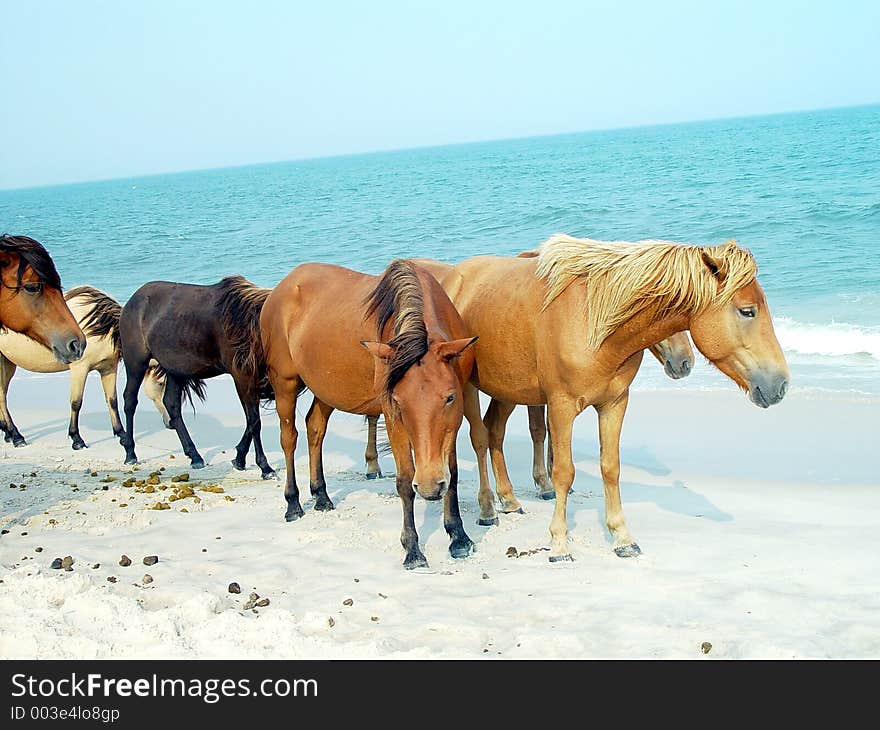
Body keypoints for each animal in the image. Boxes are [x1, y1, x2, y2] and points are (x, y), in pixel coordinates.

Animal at [118, 272, 274, 472]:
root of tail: (132, 301)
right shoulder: (242, 378)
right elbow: (254, 422)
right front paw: (265, 467)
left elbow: (251, 421)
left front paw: (239, 459)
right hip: (136, 363)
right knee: (130, 400)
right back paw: (130, 452)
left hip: (174, 370)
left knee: (171, 404)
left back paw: (194, 455)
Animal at [260, 260, 478, 568]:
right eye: (398, 401)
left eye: (450, 397)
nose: (428, 487)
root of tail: (281, 288)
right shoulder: (392, 418)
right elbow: (404, 481)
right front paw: (412, 549)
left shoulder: (452, 424)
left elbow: (453, 475)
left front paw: (458, 537)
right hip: (285, 383)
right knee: (289, 438)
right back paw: (293, 503)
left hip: (326, 389)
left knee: (315, 428)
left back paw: (321, 495)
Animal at [446, 236, 792, 560]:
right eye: (747, 311)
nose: (781, 384)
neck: (592, 321)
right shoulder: (560, 407)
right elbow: (563, 472)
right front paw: (559, 542)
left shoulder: (614, 404)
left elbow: (610, 467)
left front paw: (623, 538)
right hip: (469, 389)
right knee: (480, 438)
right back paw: (487, 509)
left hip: (509, 389)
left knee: (494, 431)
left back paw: (508, 499)